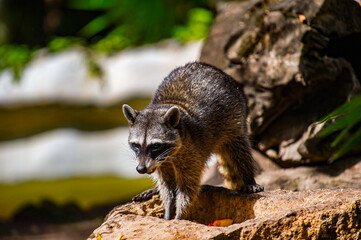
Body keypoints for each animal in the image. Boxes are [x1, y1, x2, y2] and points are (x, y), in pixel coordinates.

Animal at [123, 61, 262, 219]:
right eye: (136, 145)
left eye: (155, 145)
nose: (141, 169)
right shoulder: (160, 162)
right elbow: (167, 187)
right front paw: (168, 212)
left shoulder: (192, 151)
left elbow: (187, 188)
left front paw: (179, 216)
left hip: (235, 117)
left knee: (239, 148)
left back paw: (248, 176)